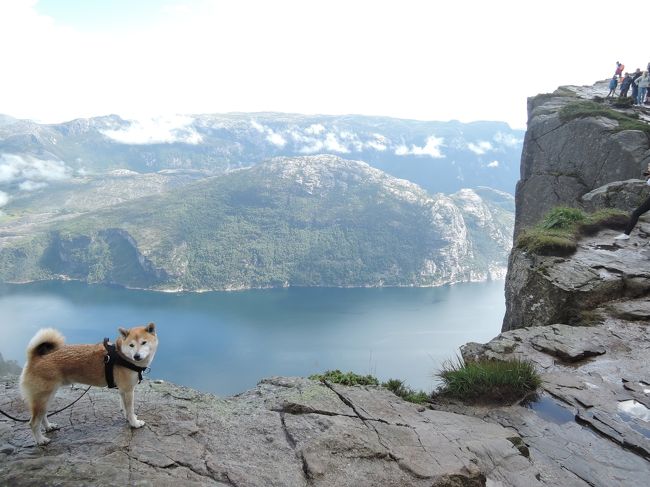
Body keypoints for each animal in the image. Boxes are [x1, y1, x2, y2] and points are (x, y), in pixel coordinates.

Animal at [19, 324, 157, 446]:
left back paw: (49, 427)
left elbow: (125, 409)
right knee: (33, 423)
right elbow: (130, 409)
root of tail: (35, 358)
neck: (122, 355)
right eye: (131, 345)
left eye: (144, 342)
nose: (137, 356)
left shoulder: (123, 391)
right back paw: (41, 440)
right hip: (42, 398)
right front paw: (134, 423)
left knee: (43, 416)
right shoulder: (128, 390)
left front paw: (129, 418)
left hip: (47, 397)